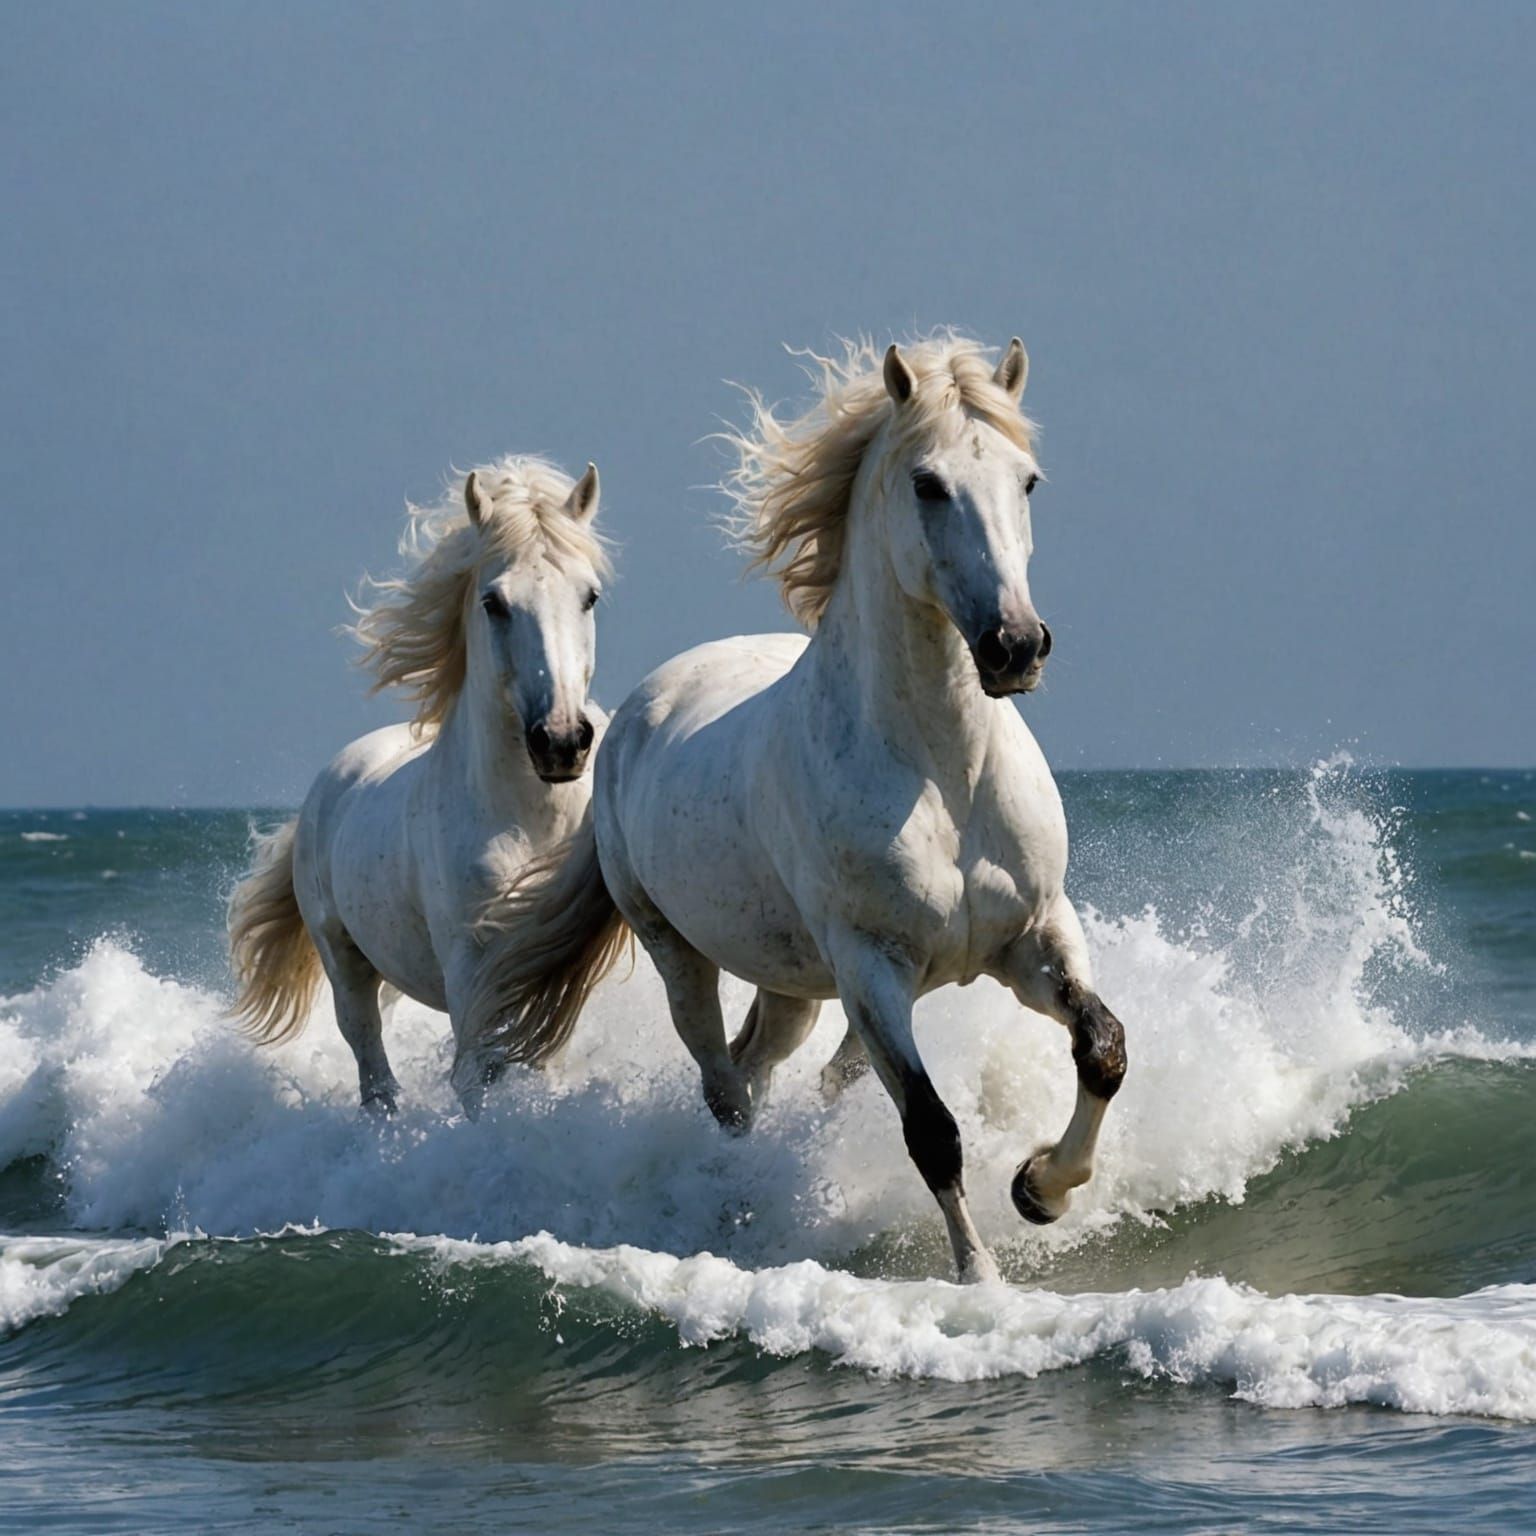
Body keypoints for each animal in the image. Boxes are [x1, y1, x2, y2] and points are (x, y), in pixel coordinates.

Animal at [227, 454, 611, 1116]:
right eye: (493, 602)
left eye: (589, 596)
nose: (562, 741)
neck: (527, 821)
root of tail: (330, 783)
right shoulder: (476, 985)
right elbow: (478, 1082)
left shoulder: (545, 974)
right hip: (344, 965)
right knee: (371, 1065)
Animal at [474, 334, 1128, 1283]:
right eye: (927, 483)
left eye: (1028, 480)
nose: (1015, 646)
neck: (943, 776)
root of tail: (632, 714)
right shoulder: (871, 967)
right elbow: (931, 1130)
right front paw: (981, 1277)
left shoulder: (1034, 936)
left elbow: (1101, 1048)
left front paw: (1042, 1189)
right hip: (684, 955)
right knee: (726, 1090)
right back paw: (739, 1208)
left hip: (792, 982)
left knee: (764, 1066)